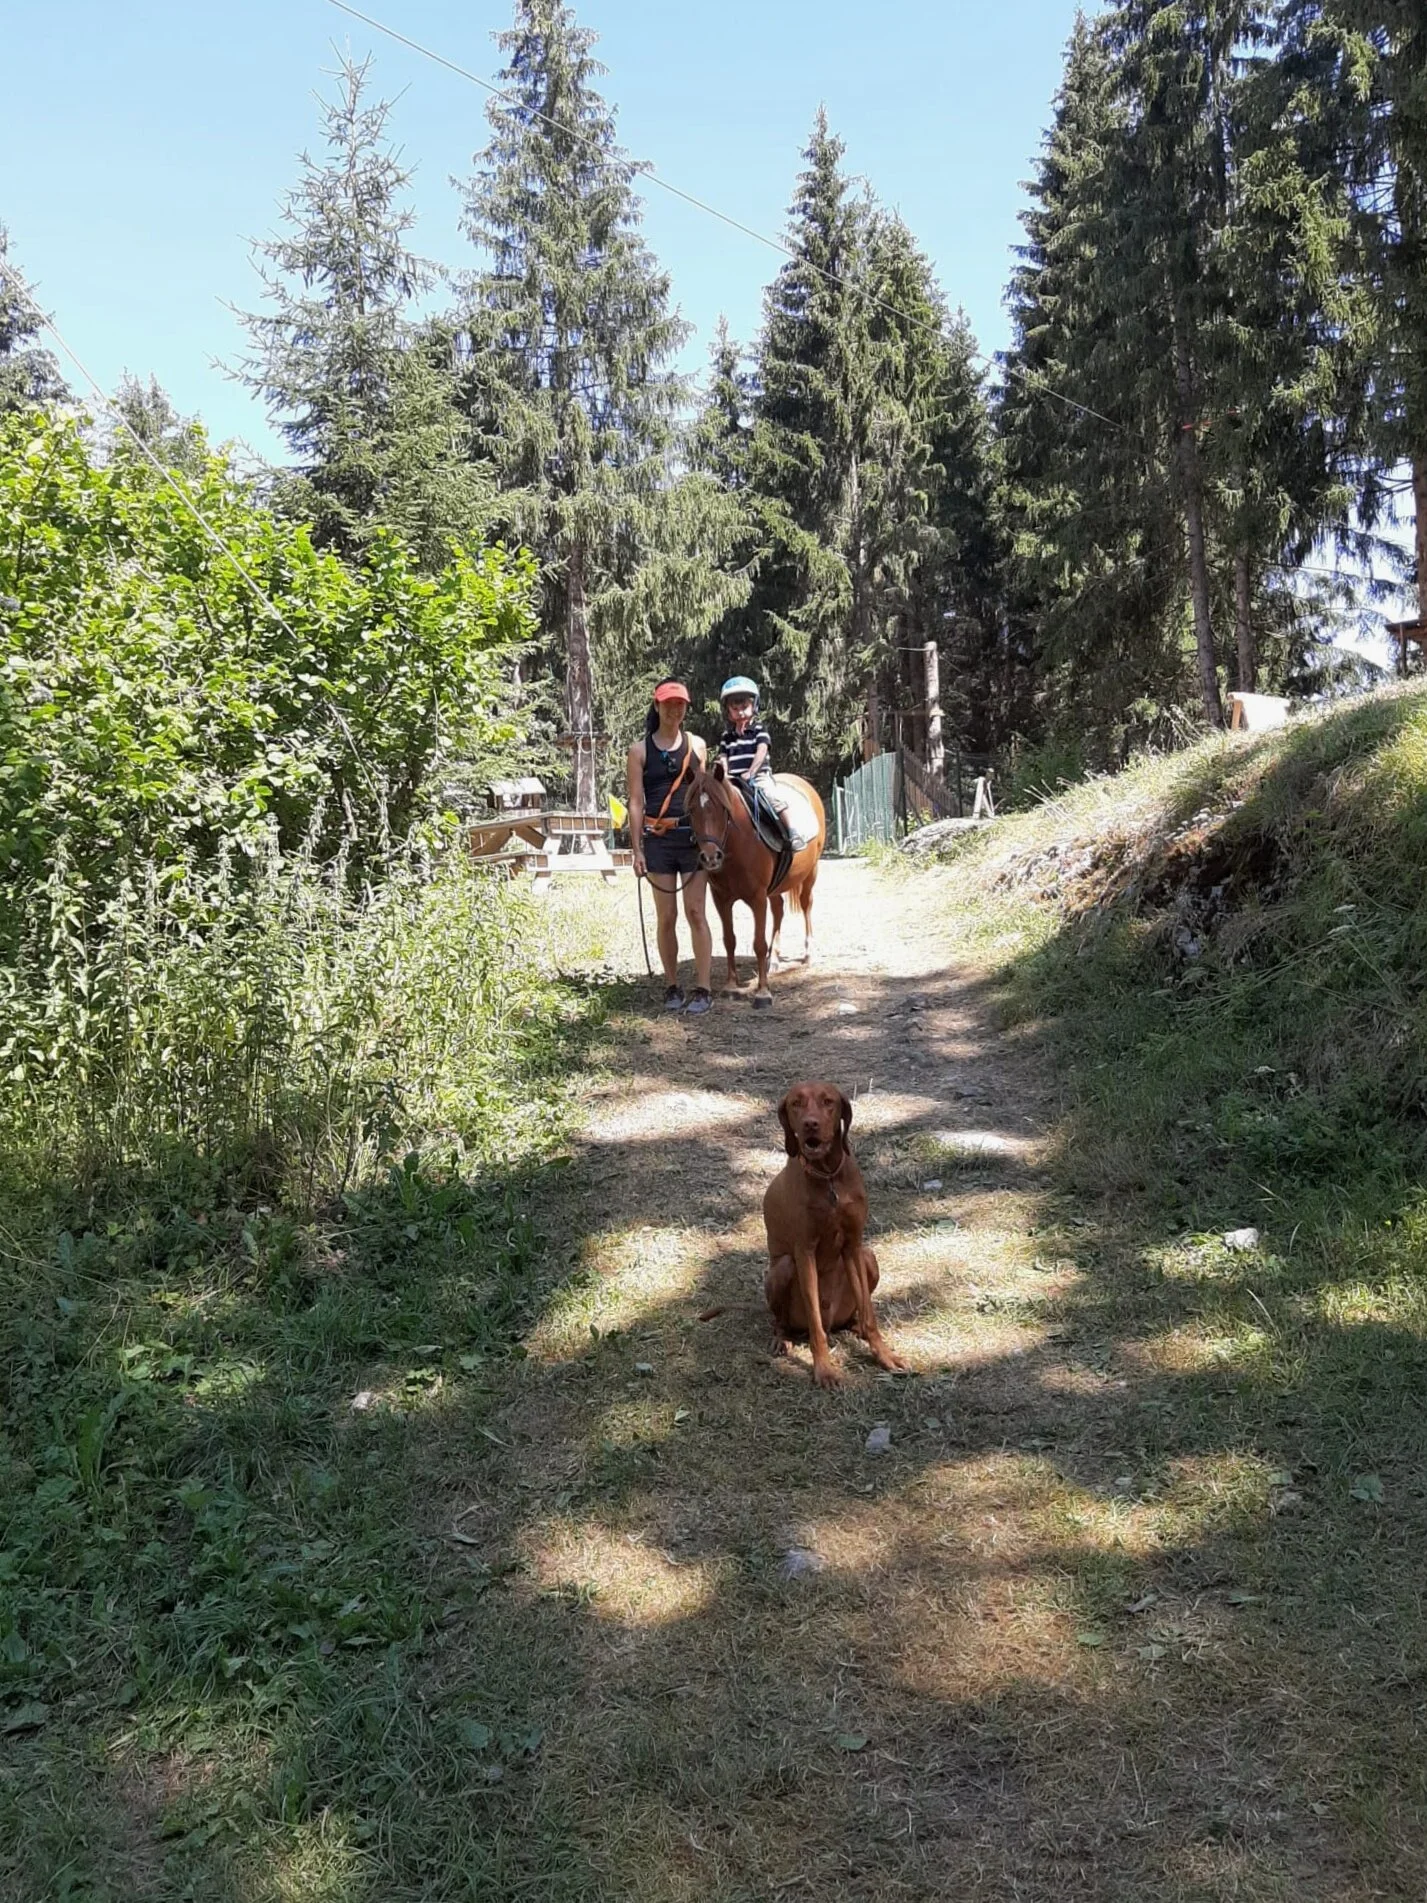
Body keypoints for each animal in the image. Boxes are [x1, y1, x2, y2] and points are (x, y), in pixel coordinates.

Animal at [686, 757, 827, 1009]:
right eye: (692, 810)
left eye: (723, 808)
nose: (711, 857)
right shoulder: (721, 899)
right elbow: (729, 940)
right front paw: (732, 986)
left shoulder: (757, 898)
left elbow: (759, 944)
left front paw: (763, 992)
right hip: (777, 886)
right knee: (779, 911)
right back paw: (775, 961)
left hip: (810, 873)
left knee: (806, 906)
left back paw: (808, 953)